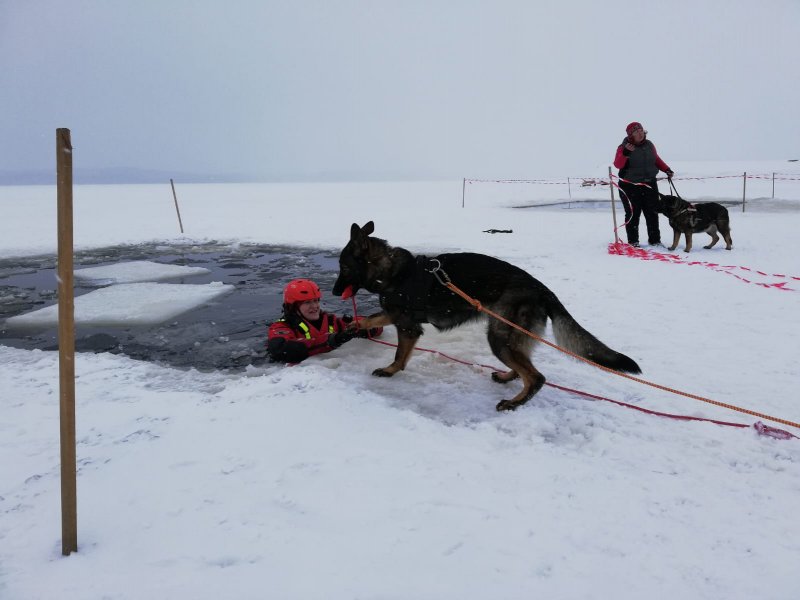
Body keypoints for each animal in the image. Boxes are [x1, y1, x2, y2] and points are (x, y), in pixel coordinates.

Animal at [332, 221, 644, 412]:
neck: (388, 271)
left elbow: (398, 354)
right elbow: (370, 319)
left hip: (499, 338)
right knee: (525, 367)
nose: (334, 292)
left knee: (536, 377)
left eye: (344, 267)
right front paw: (351, 327)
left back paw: (514, 403)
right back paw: (508, 377)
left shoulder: (406, 326)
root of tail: (542, 289)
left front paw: (389, 370)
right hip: (506, 336)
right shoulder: (396, 317)